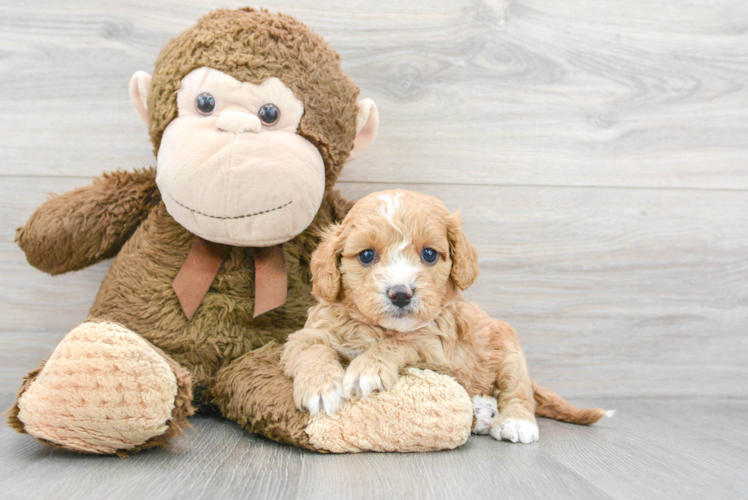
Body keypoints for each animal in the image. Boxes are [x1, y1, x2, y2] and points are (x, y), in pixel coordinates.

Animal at [280, 189, 608, 444]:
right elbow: (310, 349)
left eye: (429, 254)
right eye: (366, 255)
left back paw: (514, 421)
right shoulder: (308, 333)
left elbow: (401, 343)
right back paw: (482, 411)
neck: (380, 328)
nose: (401, 294)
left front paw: (367, 369)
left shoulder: (437, 352)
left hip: (509, 349)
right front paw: (321, 388)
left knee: (517, 388)